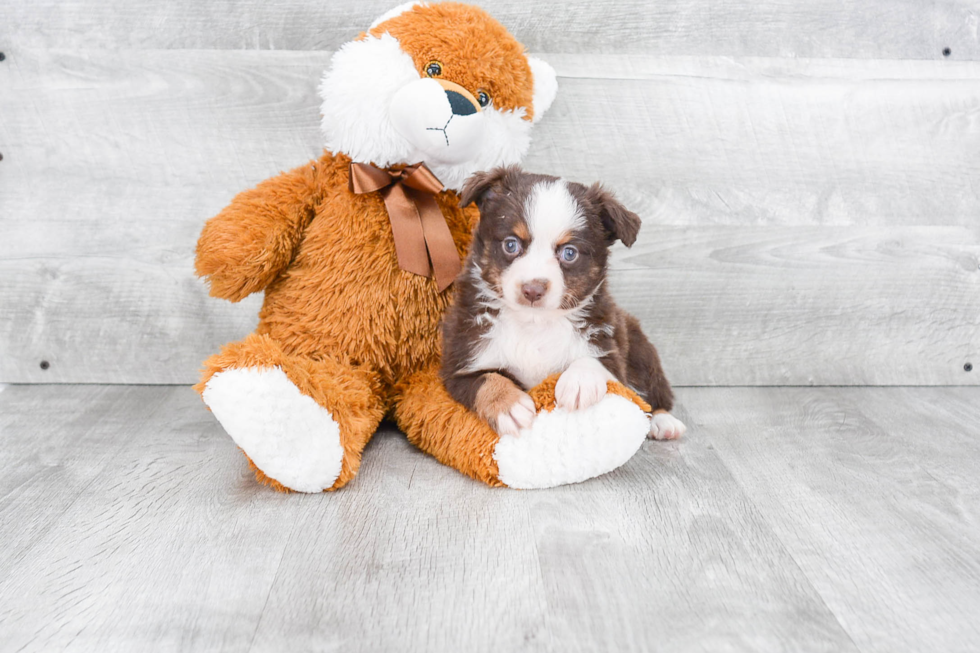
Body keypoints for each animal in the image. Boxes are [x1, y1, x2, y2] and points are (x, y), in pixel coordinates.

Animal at [440, 163, 684, 440]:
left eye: (569, 253)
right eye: (511, 245)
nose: (532, 289)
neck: (533, 324)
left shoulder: (609, 350)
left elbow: (594, 361)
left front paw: (578, 383)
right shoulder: (460, 363)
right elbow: (486, 380)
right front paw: (509, 405)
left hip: (641, 350)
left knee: (655, 394)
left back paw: (664, 422)